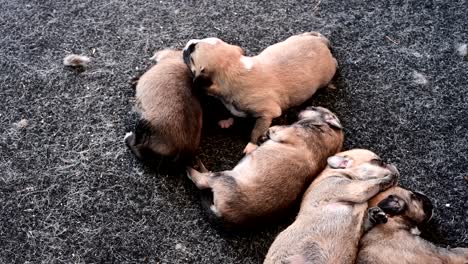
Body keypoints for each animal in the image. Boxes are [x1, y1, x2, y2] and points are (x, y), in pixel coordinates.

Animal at [183, 32, 336, 155]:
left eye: (192, 53)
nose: (189, 41)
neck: (234, 67)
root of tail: (321, 44)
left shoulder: (267, 113)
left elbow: (257, 130)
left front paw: (252, 144)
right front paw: (226, 120)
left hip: (328, 73)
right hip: (297, 38)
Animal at [186, 106, 344, 228]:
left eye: (312, 108)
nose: (287, 111)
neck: (325, 128)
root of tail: (226, 218)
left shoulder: (282, 131)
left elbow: (274, 129)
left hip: (223, 178)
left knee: (202, 182)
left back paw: (190, 167)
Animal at [264, 148, 398, 264]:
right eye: (379, 162)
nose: (394, 166)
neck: (338, 172)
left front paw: (375, 214)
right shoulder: (351, 187)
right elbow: (370, 184)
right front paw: (387, 179)